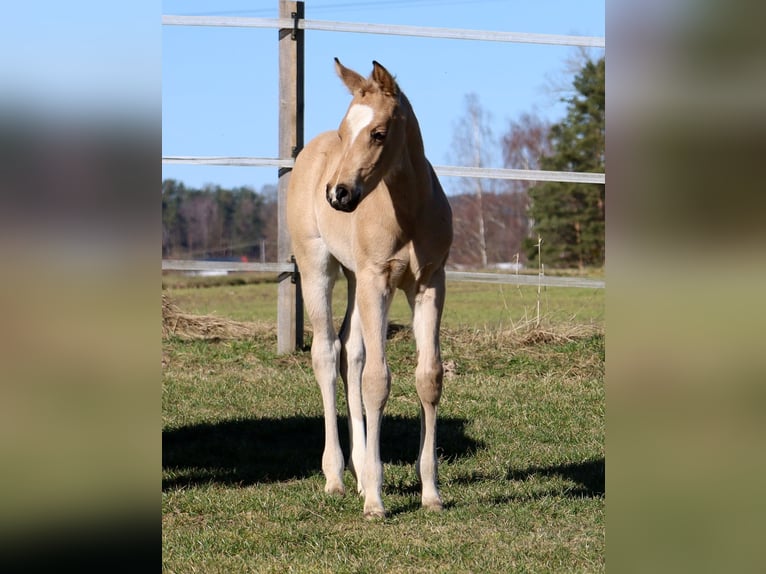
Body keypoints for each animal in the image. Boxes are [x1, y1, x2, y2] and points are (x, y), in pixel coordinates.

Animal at [286, 59, 453, 518]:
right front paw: (376, 502)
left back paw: (360, 472)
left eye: (378, 133)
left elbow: (428, 377)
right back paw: (338, 478)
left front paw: (430, 493)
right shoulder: (378, 280)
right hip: (318, 266)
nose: (338, 194)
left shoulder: (429, 282)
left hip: (356, 277)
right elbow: (378, 380)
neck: (408, 211)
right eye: (345, 133)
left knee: (351, 351)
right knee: (327, 353)